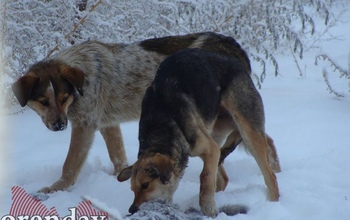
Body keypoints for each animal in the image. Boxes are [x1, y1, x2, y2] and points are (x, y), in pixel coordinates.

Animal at [11, 31, 254, 193]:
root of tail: (232, 44)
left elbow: (70, 165)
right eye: (43, 102)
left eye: (63, 98)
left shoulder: (85, 125)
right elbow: (118, 156)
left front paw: (55, 189)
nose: (60, 125)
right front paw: (118, 177)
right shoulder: (108, 124)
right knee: (221, 171)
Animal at [119, 48, 280, 217]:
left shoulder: (209, 148)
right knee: (224, 177)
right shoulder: (208, 148)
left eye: (145, 185)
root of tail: (235, 61)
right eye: (132, 189)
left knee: (270, 175)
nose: (132, 210)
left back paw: (272, 204)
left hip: (247, 128)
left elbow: (205, 176)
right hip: (217, 129)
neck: (160, 129)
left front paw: (208, 206)